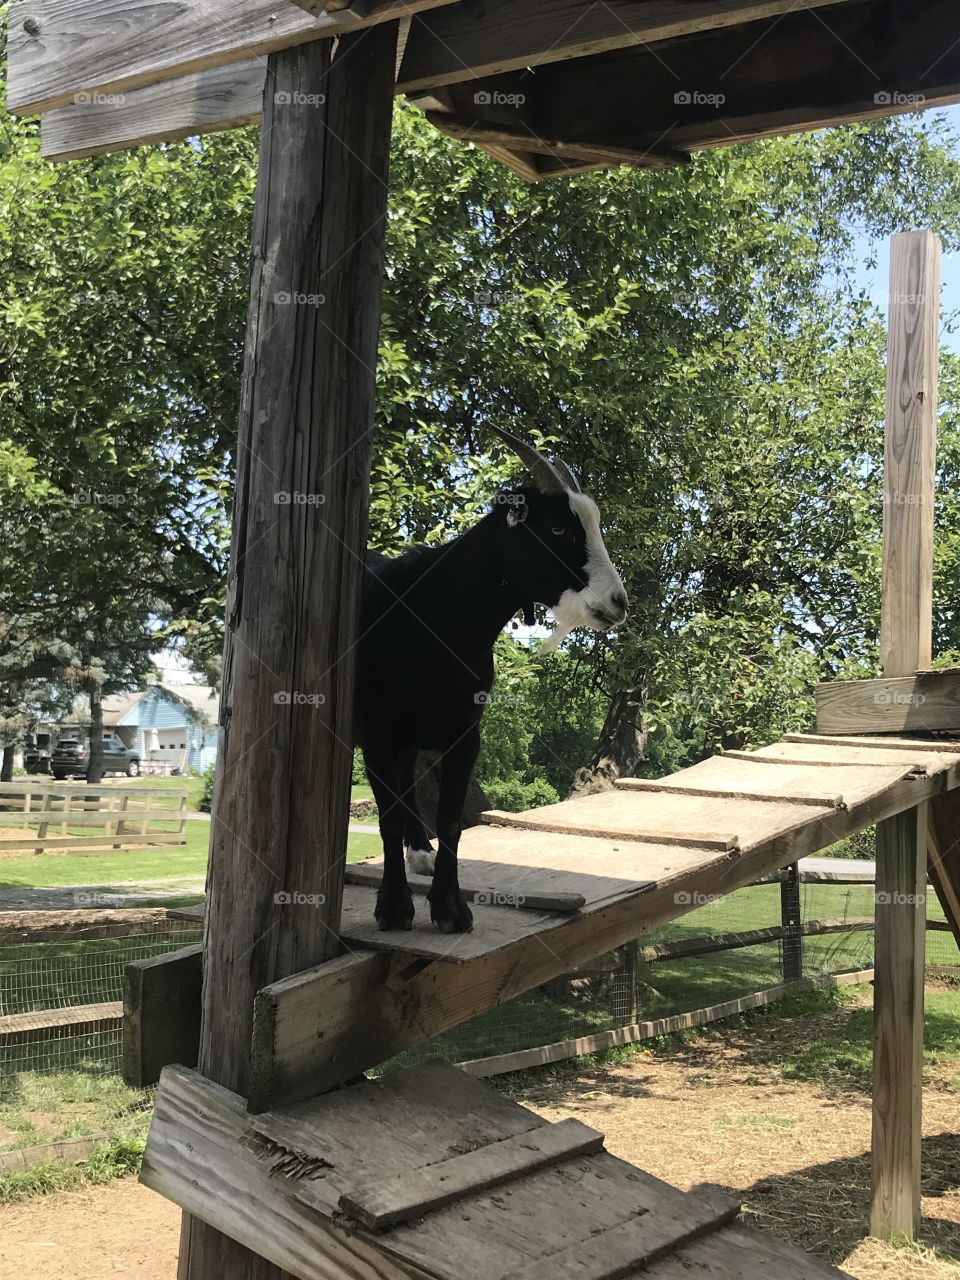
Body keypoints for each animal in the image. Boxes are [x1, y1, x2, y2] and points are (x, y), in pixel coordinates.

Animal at [358, 430, 627, 931]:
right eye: (557, 529)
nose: (617, 602)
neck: (426, 617)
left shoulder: (465, 731)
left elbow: (450, 819)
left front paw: (450, 909)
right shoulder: (377, 733)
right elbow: (386, 817)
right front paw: (394, 908)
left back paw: (420, 854)